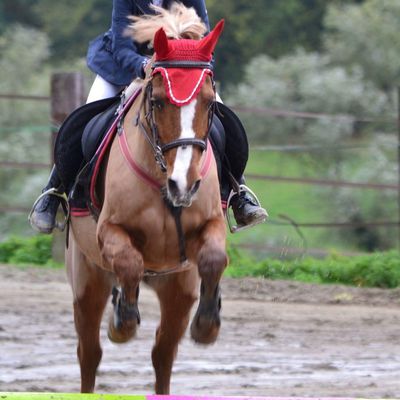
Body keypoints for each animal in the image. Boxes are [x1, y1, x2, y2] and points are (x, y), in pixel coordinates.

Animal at [66, 4, 228, 396]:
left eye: (209, 103)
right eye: (157, 101)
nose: (183, 185)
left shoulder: (211, 224)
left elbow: (215, 258)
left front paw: (207, 323)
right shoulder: (109, 230)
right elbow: (128, 262)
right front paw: (122, 320)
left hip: (177, 289)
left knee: (163, 353)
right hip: (86, 281)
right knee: (89, 353)